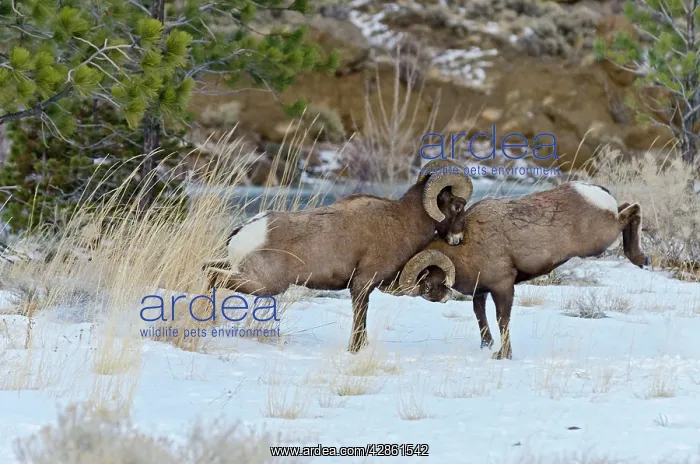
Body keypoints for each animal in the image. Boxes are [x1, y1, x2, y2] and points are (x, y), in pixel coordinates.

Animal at [202, 159, 473, 353]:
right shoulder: (362, 285)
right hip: (265, 284)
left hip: (241, 271)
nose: (458, 239)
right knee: (214, 277)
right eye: (457, 206)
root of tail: (245, 231)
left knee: (207, 268)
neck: (403, 221)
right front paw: (355, 350)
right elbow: (359, 319)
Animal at [396, 181, 650, 360]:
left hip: (600, 240)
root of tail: (594, 192)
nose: (436, 297)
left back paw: (640, 258)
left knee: (633, 210)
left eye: (427, 281)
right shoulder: (481, 292)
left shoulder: (502, 287)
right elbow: (480, 317)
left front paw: (503, 356)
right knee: (627, 208)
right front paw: (488, 346)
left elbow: (502, 320)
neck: (465, 247)